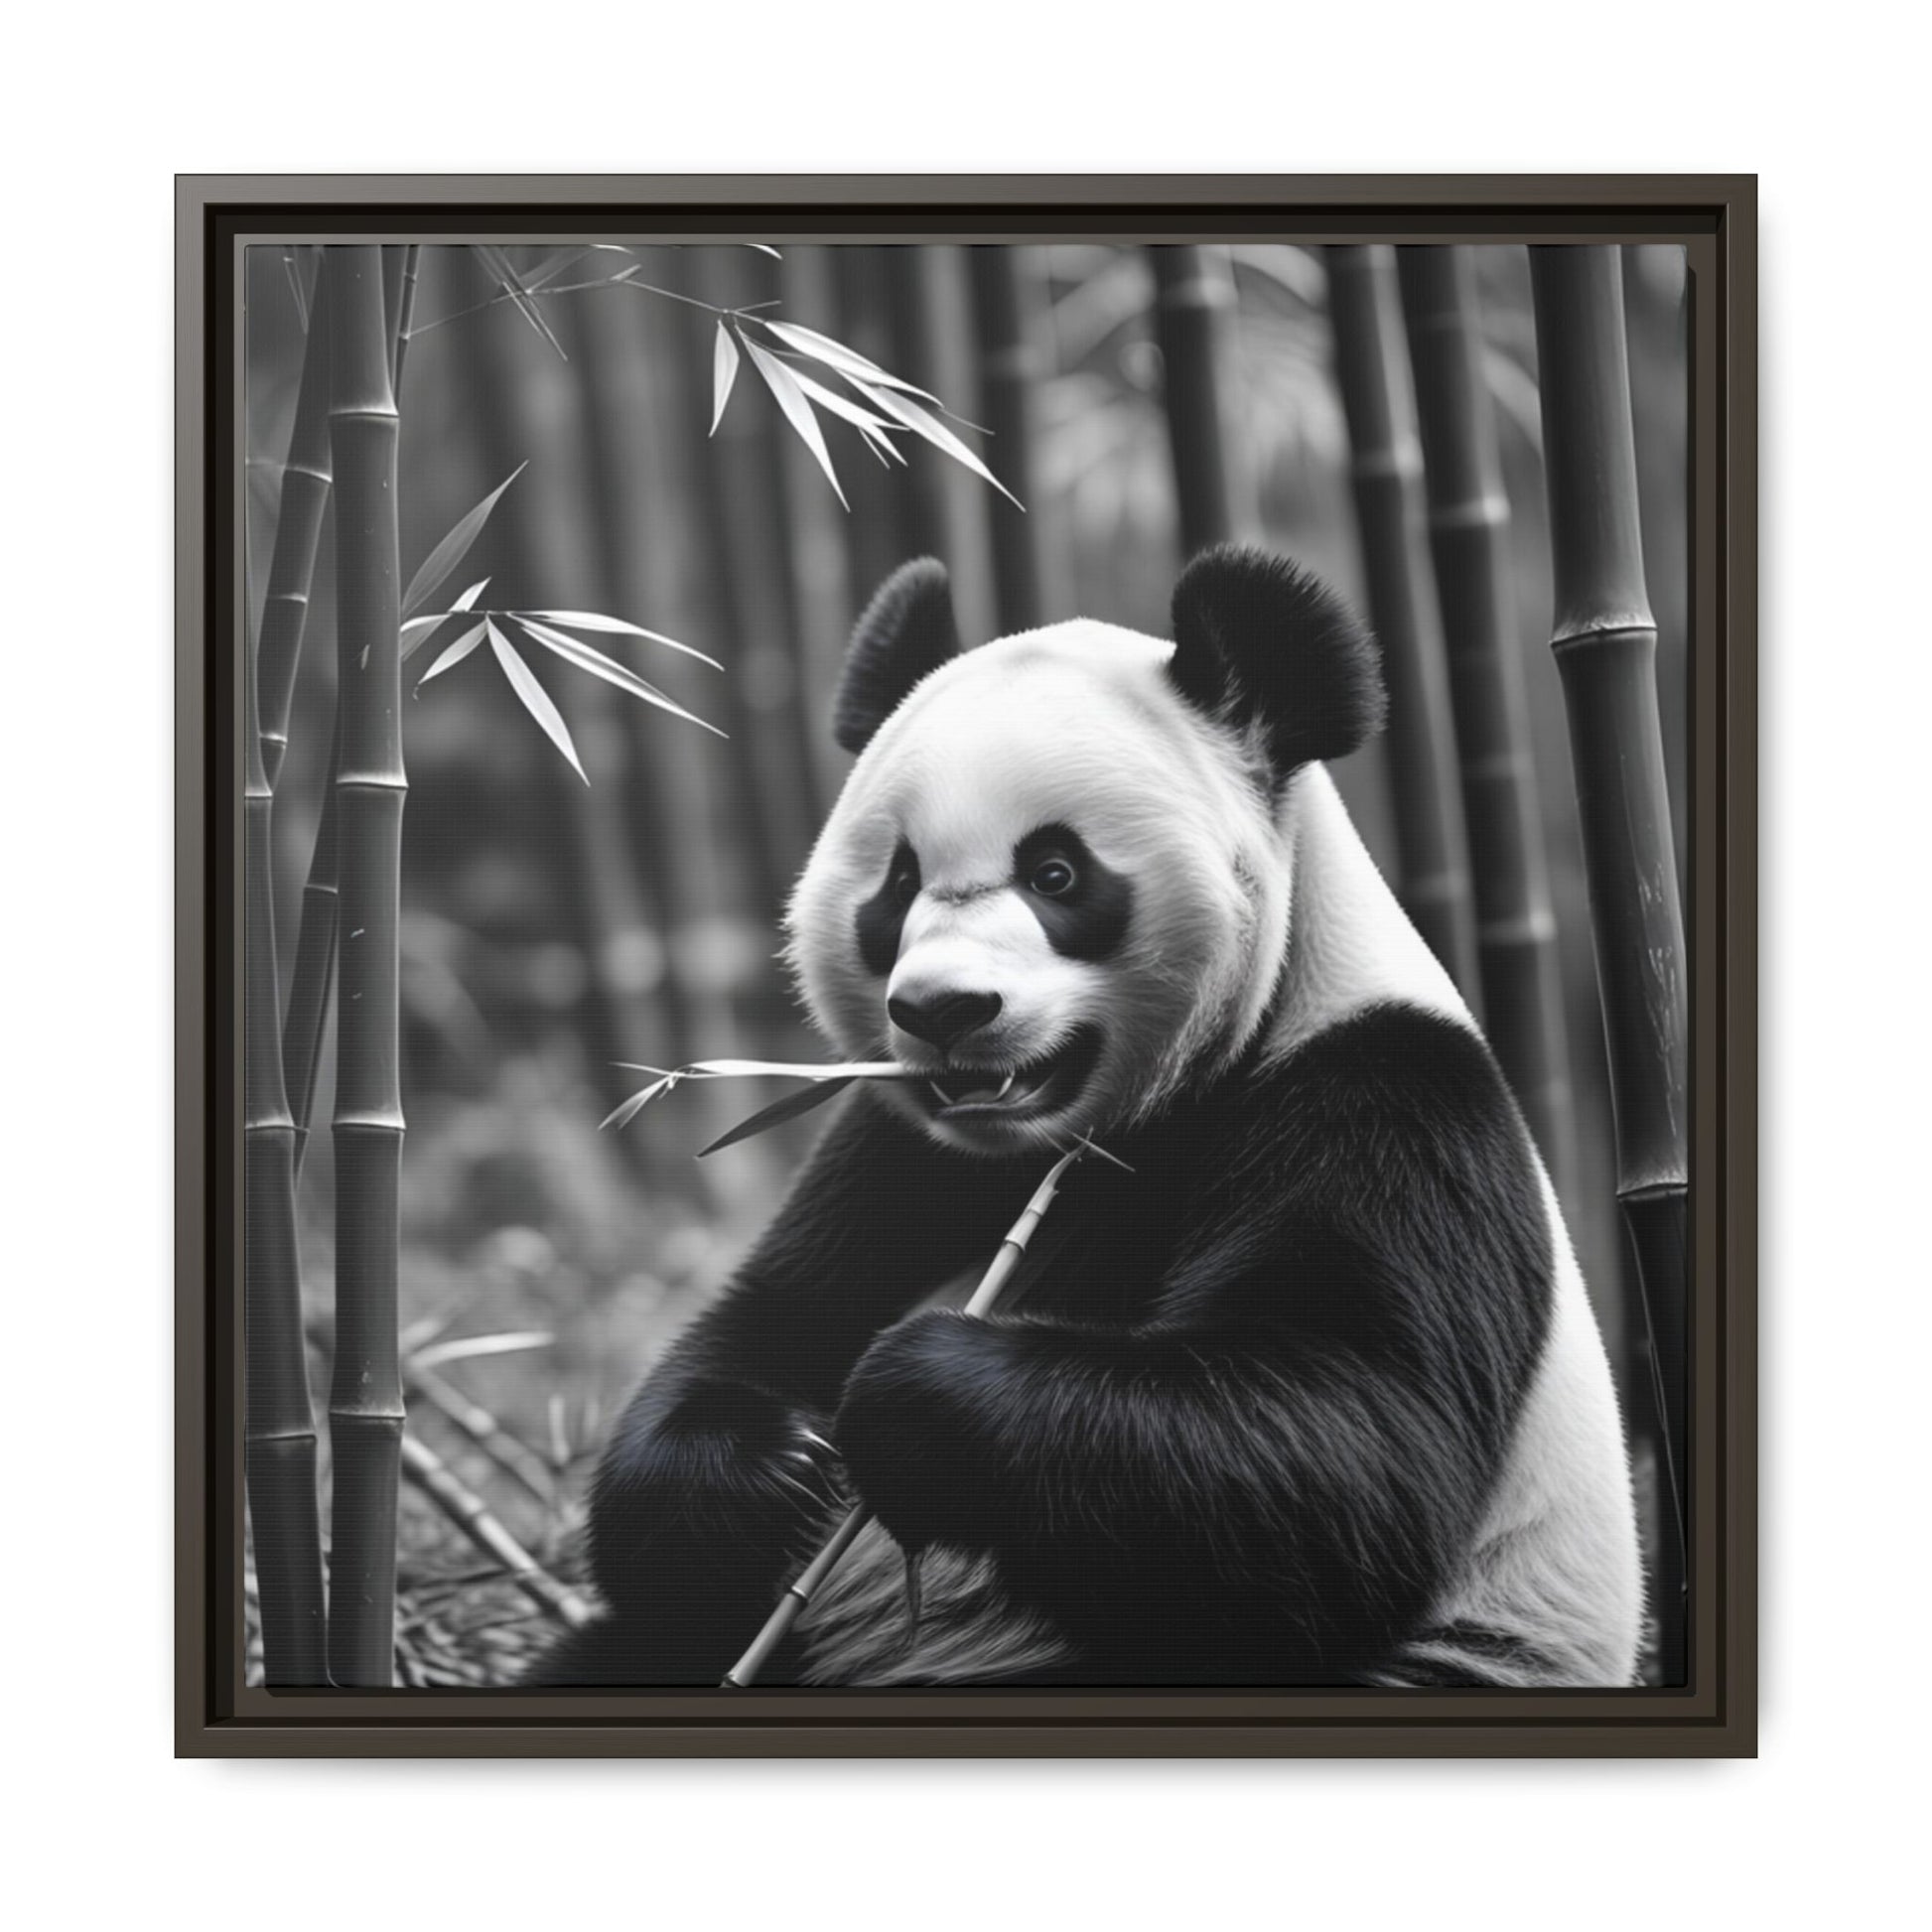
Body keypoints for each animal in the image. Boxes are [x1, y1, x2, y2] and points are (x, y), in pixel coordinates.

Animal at [535, 546, 1643, 1689]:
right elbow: (756, 1330)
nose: (943, 1010)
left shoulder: (1385, 1099)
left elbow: (1340, 1449)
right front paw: (775, 1467)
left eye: (1055, 872)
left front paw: (910, 1393)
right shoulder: (902, 1149)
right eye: (898, 882)